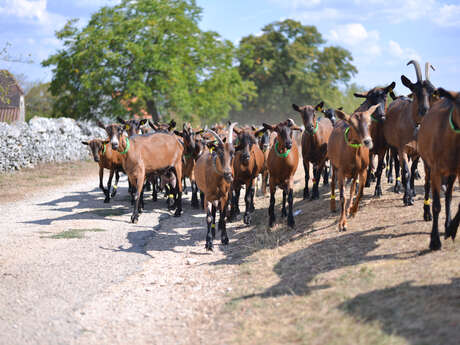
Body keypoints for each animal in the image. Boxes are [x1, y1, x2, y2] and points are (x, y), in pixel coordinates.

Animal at [416, 88, 460, 250]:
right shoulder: (436, 170)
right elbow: (436, 206)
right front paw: (434, 241)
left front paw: (451, 229)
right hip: (428, 165)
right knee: (427, 185)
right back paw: (426, 213)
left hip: (452, 173)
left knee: (448, 195)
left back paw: (447, 224)